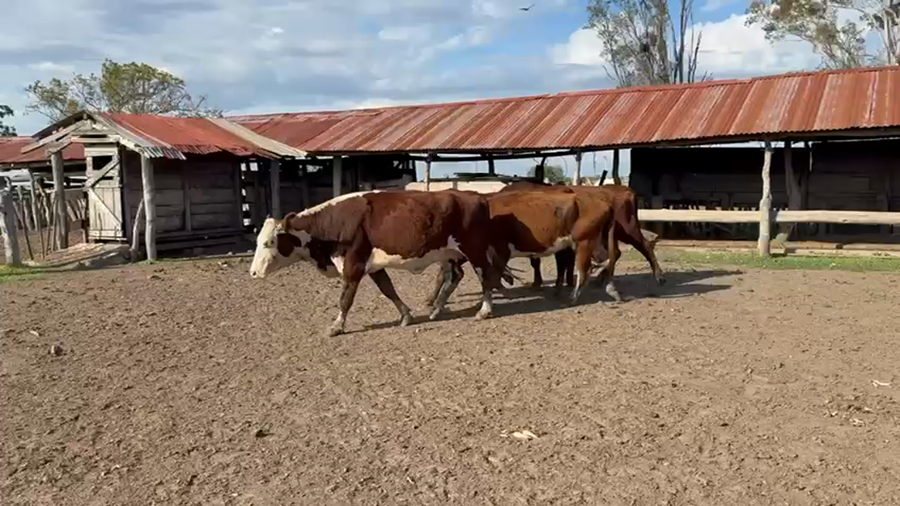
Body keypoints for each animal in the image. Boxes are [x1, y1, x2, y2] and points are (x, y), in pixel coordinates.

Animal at [249, 189, 506, 337]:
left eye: (269, 242)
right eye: (258, 240)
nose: (252, 273)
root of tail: (477, 197)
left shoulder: (353, 265)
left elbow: (345, 298)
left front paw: (337, 326)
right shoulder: (373, 266)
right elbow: (388, 289)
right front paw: (406, 315)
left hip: (473, 249)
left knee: (486, 275)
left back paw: (485, 310)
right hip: (450, 254)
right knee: (456, 276)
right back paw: (437, 308)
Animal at [424, 187, 617, 309]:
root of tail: (604, 202)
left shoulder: (501, 249)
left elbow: (493, 276)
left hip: (585, 241)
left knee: (586, 269)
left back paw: (573, 298)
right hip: (590, 242)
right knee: (606, 259)